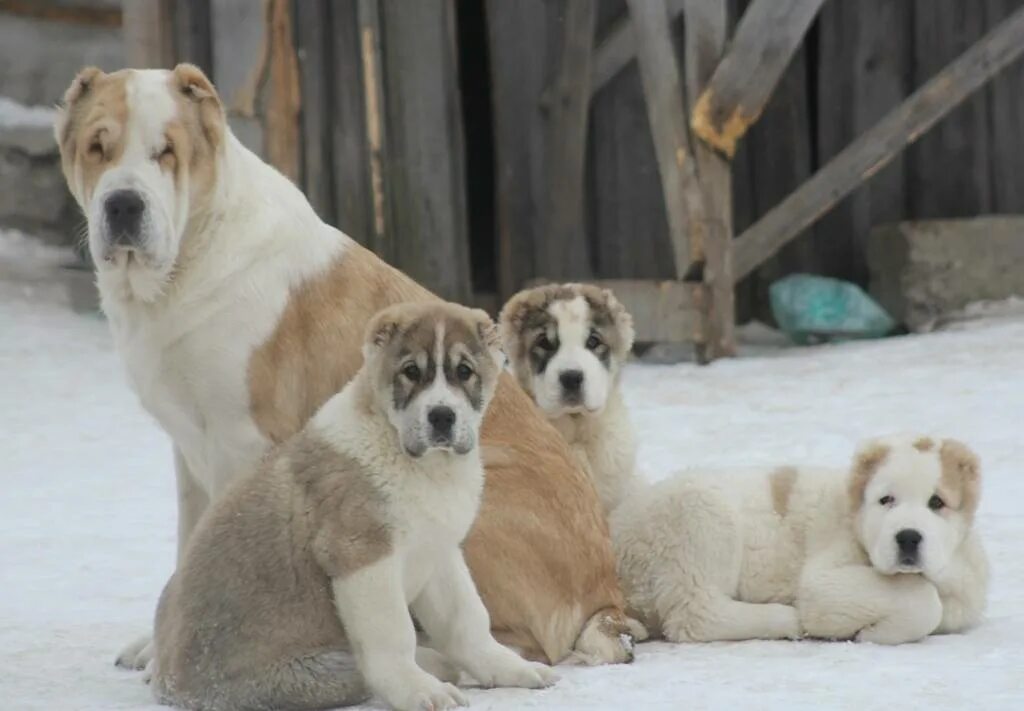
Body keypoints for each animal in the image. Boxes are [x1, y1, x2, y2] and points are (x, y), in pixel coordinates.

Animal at [610, 434, 987, 647]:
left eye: (937, 502)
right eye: (886, 500)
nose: (908, 537)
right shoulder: (824, 576)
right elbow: (924, 601)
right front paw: (870, 634)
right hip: (700, 513)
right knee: (697, 613)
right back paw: (786, 618)